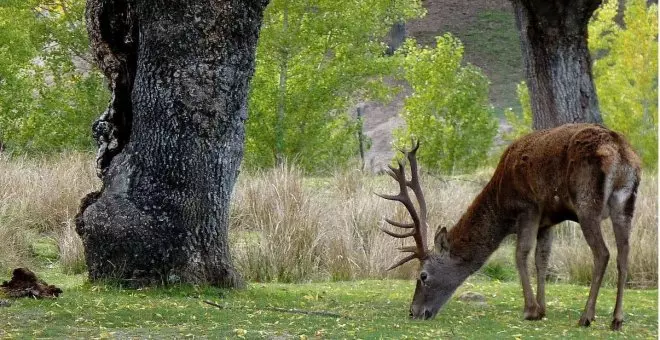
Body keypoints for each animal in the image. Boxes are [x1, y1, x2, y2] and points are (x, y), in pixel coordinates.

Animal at [378, 123, 640, 330]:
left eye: (423, 275)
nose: (414, 312)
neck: (501, 203)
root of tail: (620, 153)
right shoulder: (548, 220)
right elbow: (542, 259)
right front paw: (542, 308)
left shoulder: (528, 207)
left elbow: (520, 254)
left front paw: (530, 310)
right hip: (626, 203)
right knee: (624, 254)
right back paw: (617, 319)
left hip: (587, 200)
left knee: (603, 253)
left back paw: (586, 316)